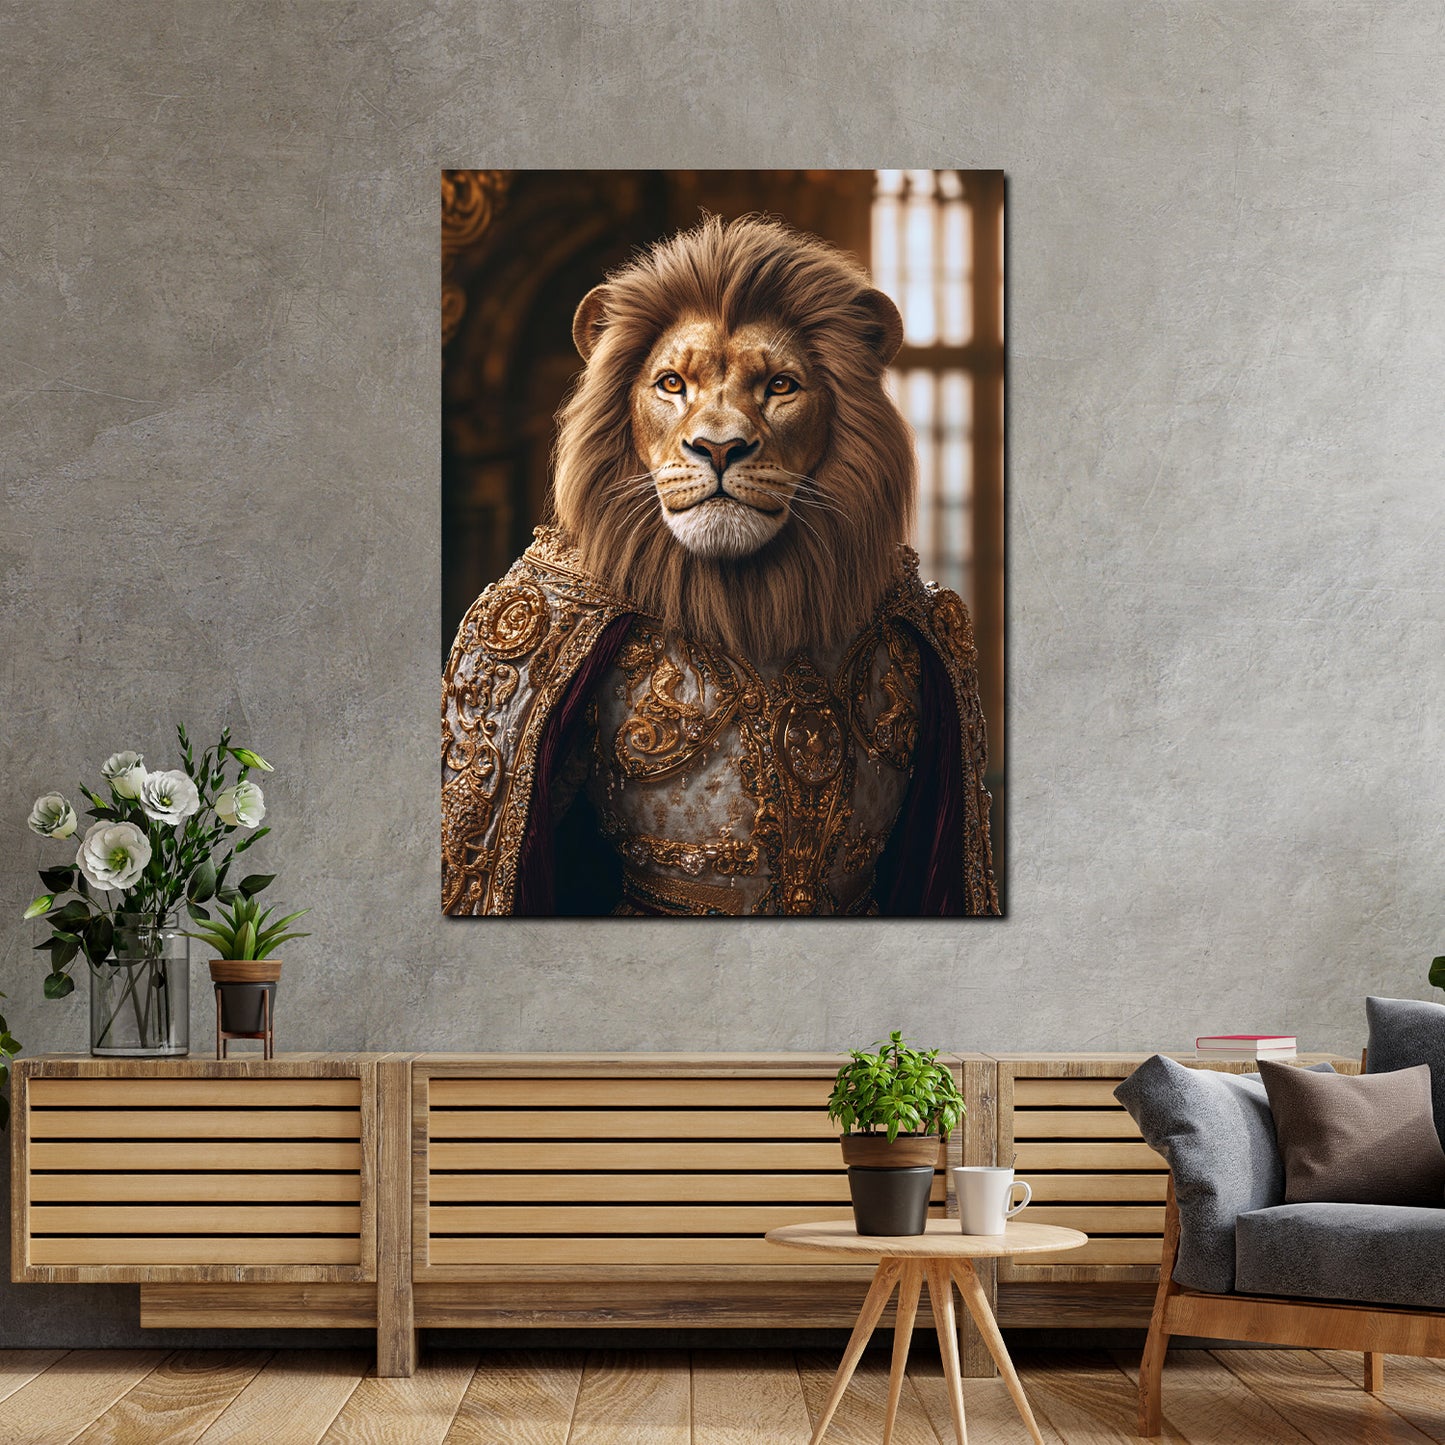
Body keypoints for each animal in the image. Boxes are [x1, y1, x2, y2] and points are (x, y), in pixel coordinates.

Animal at [443, 215, 999, 917]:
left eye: (780, 385)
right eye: (671, 384)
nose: (718, 447)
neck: (753, 597)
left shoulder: (943, 643)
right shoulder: (516, 643)